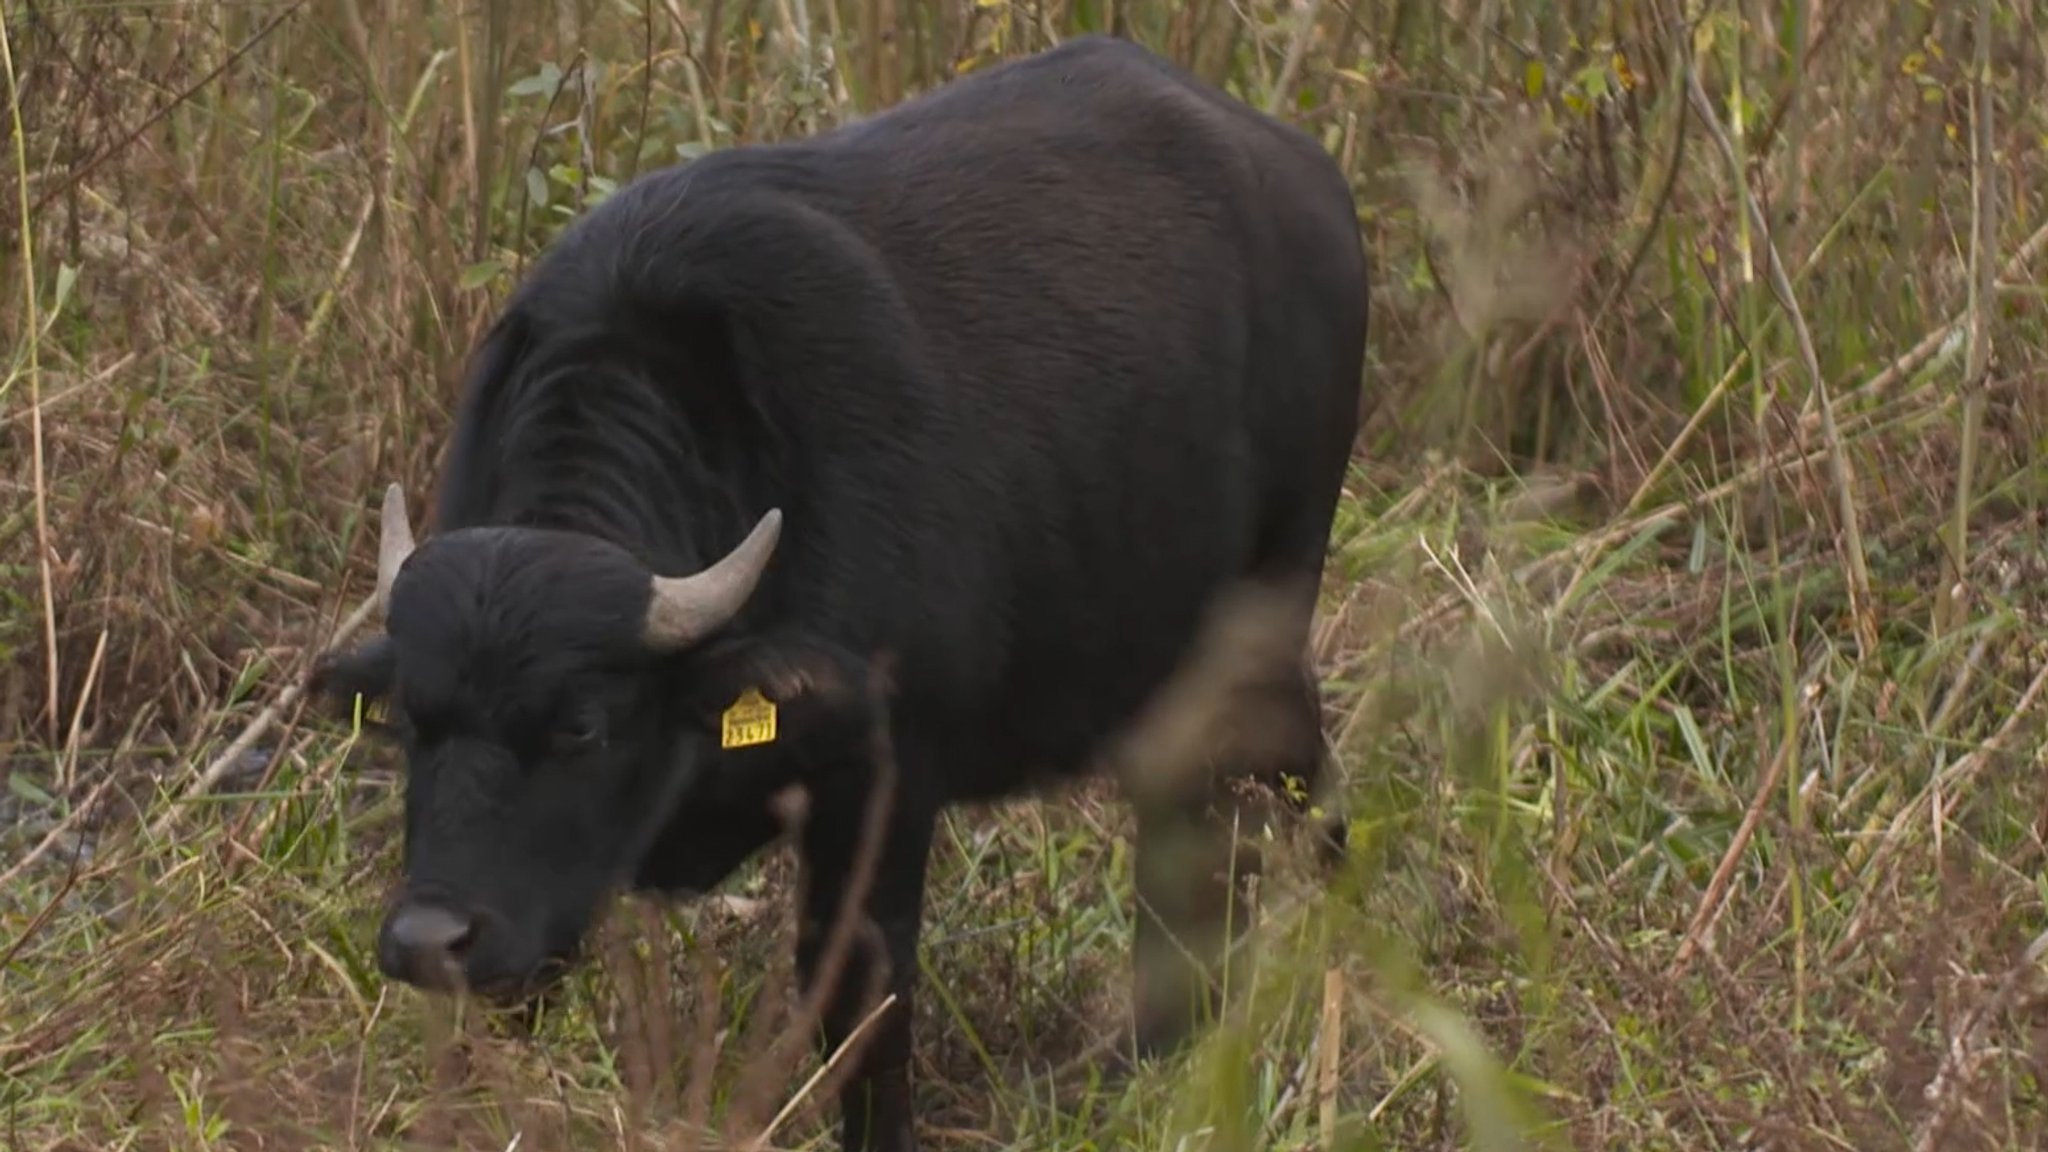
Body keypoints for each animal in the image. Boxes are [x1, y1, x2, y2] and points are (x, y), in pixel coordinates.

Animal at [311, 33, 1368, 1147]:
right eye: (411, 720)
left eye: (580, 727)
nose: (426, 939)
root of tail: (1305, 177)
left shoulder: (879, 790)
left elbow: (862, 1008)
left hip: (1263, 626)